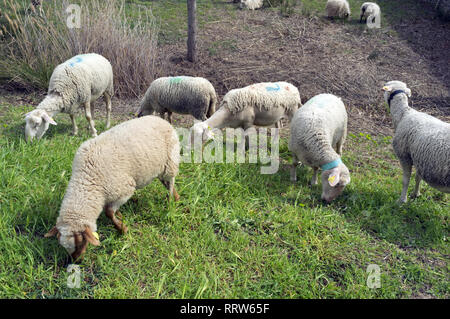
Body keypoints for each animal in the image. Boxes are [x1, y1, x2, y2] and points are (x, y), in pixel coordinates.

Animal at [44, 116, 180, 262]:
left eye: (82, 242)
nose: (76, 261)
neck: (88, 180)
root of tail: (160, 119)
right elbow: (111, 210)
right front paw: (120, 218)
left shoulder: (125, 190)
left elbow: (109, 212)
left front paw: (122, 229)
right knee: (165, 182)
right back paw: (176, 198)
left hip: (170, 161)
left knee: (171, 182)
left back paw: (171, 201)